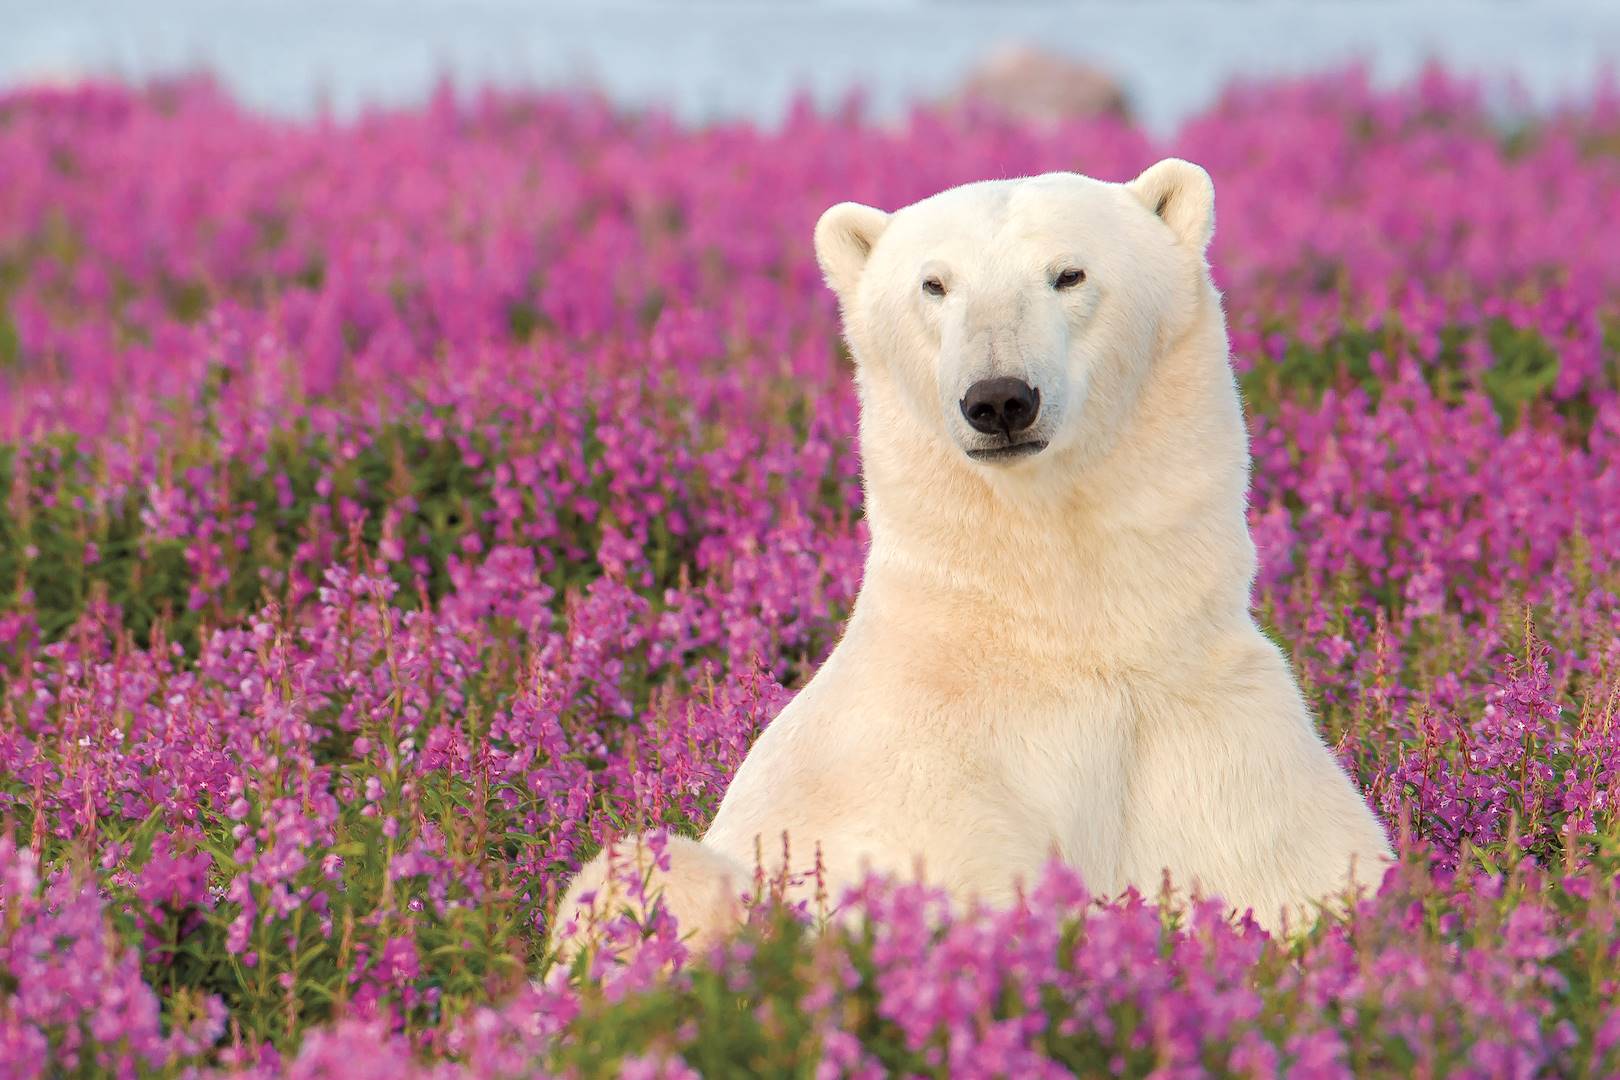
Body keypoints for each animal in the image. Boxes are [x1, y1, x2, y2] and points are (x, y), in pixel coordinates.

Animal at [560, 158, 1393, 952]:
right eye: (934, 284)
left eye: (1069, 273)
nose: (998, 399)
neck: (1057, 636)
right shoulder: (913, 789)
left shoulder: (1220, 746)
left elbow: (1314, 881)